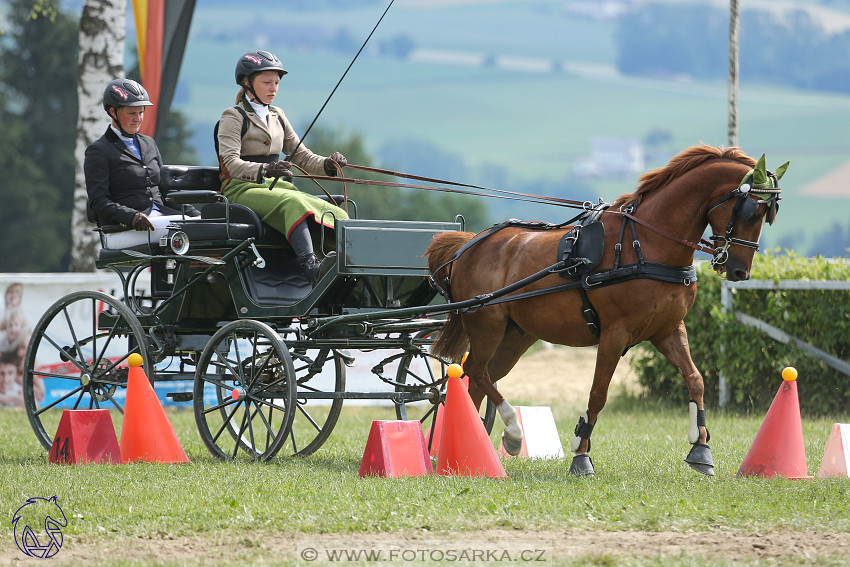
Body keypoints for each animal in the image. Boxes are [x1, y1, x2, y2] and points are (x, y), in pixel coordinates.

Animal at [420, 145, 784, 474]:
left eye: (769, 215)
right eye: (751, 212)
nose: (739, 271)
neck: (645, 243)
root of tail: (469, 243)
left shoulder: (668, 330)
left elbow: (695, 380)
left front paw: (701, 448)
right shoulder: (614, 333)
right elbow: (598, 394)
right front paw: (581, 455)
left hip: (516, 335)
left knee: (478, 378)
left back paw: (474, 450)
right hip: (487, 324)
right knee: (477, 371)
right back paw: (511, 431)